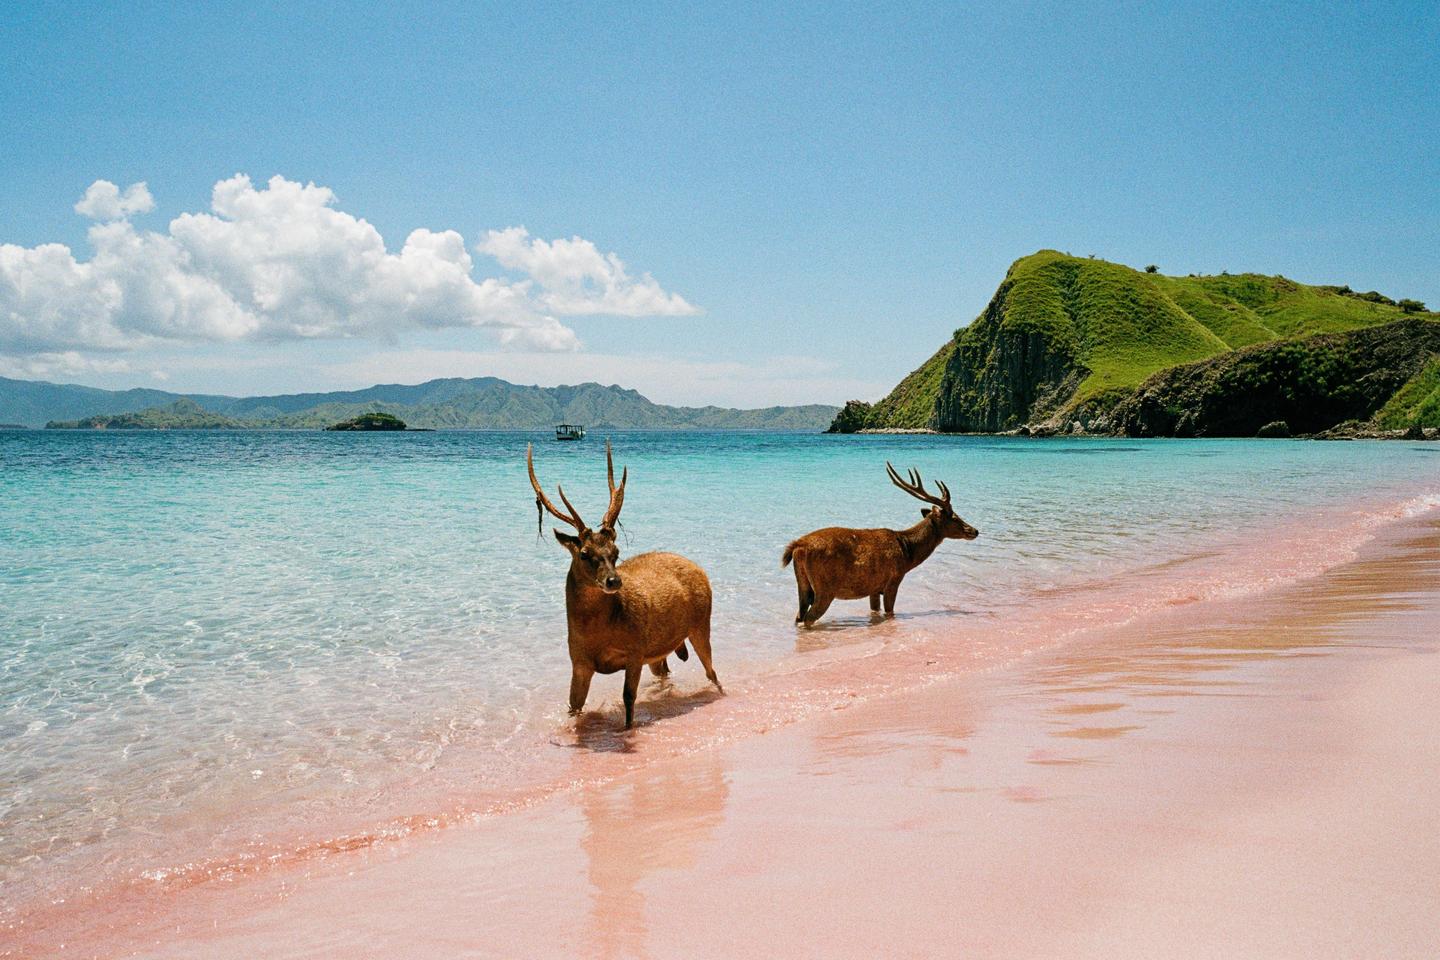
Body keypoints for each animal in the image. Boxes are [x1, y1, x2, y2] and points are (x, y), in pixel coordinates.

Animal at [528, 440, 721, 729]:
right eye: (584, 553)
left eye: (616, 551)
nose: (613, 580)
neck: (597, 634)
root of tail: (700, 569)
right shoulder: (579, 662)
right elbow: (573, 707)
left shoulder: (636, 651)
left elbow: (629, 700)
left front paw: (628, 730)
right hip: (661, 652)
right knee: (666, 672)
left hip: (701, 623)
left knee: (712, 672)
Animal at [782, 462, 979, 626]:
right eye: (954, 517)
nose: (974, 530)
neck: (907, 553)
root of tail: (798, 546)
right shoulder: (893, 579)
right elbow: (889, 612)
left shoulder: (874, 588)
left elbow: (874, 610)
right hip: (825, 588)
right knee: (809, 618)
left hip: (803, 586)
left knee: (799, 616)